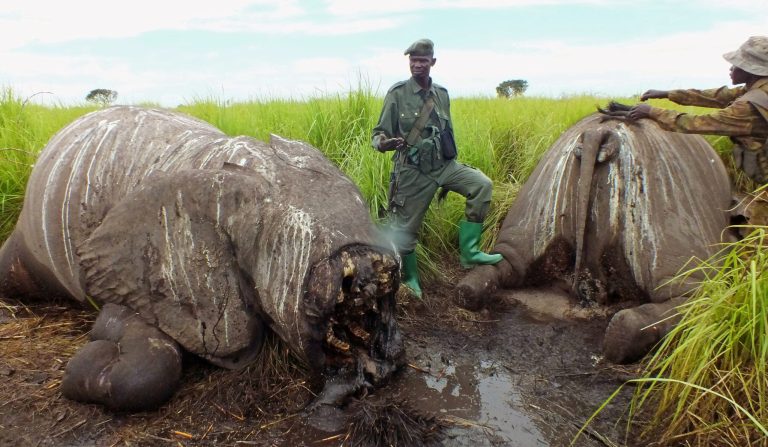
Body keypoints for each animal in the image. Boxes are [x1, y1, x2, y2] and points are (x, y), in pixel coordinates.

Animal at [456, 113, 732, 363]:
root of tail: (601, 134)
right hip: (667, 218)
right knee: (696, 296)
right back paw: (622, 337)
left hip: (540, 200)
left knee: (510, 261)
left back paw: (467, 291)